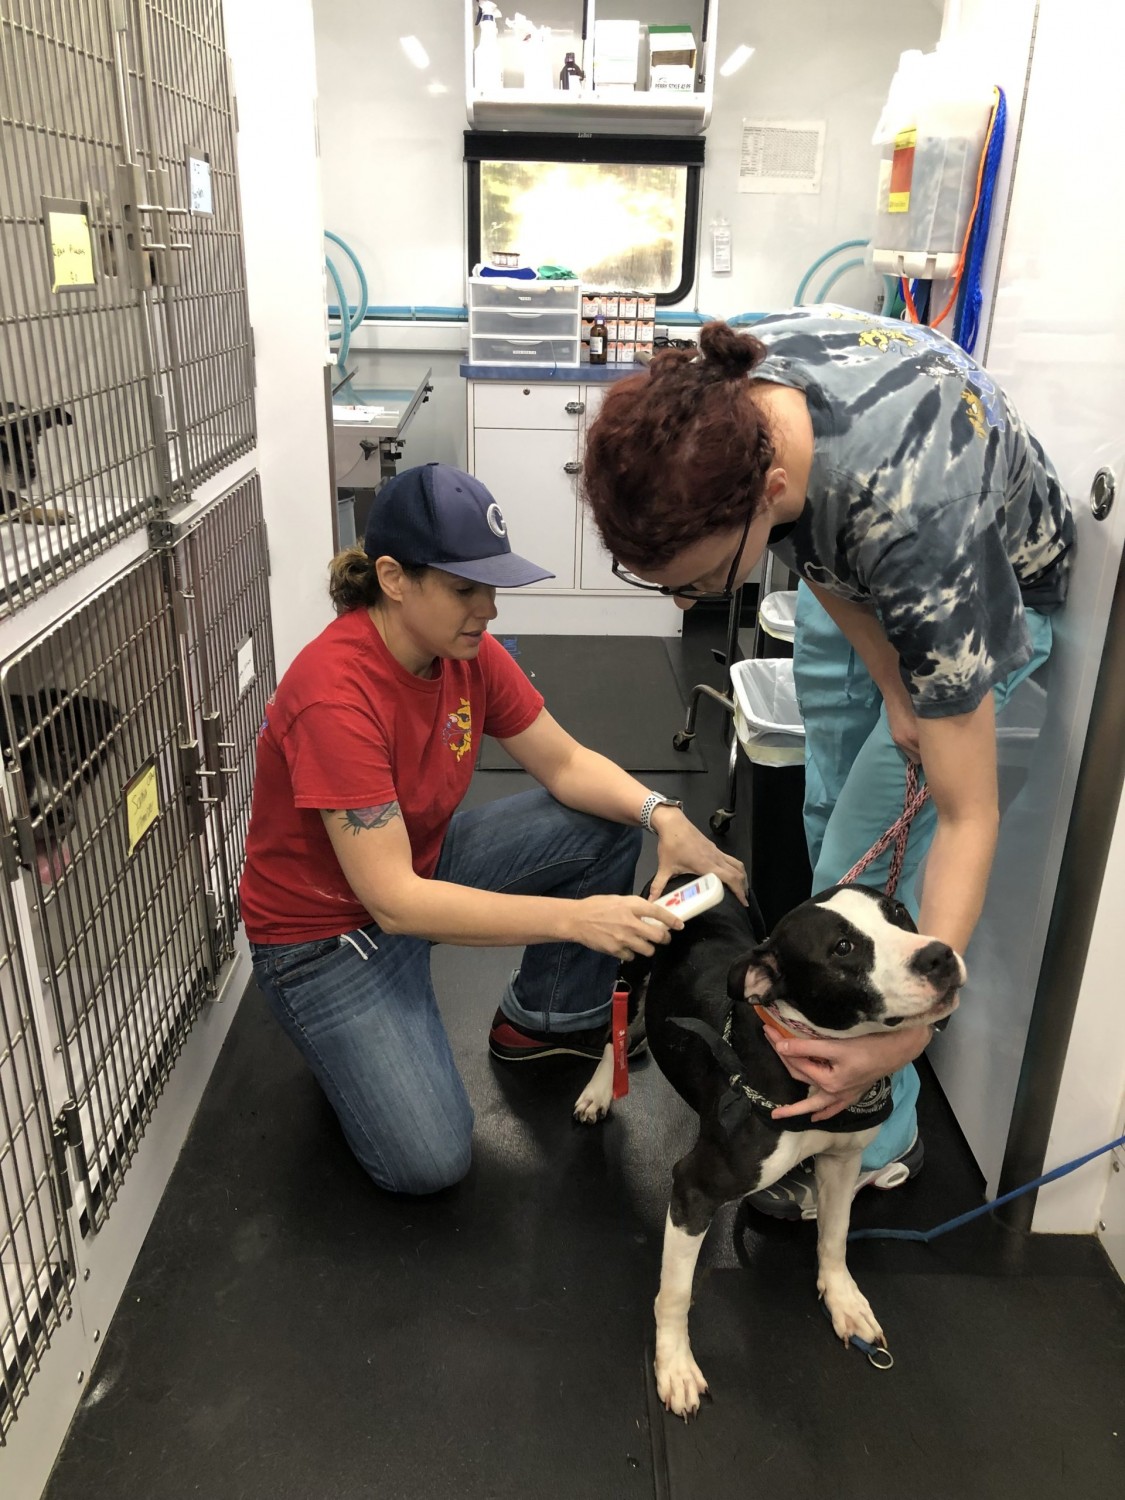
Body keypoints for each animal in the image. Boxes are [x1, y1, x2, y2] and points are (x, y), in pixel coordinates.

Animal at [576, 876, 966, 1416]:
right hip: (632, 964)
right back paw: (598, 1089)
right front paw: (674, 1364)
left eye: (900, 912)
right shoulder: (694, 1190)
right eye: (843, 948)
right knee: (613, 1029)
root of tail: (686, 876)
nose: (939, 955)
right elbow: (674, 1291)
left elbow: (835, 1236)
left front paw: (843, 1300)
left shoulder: (843, 1162)